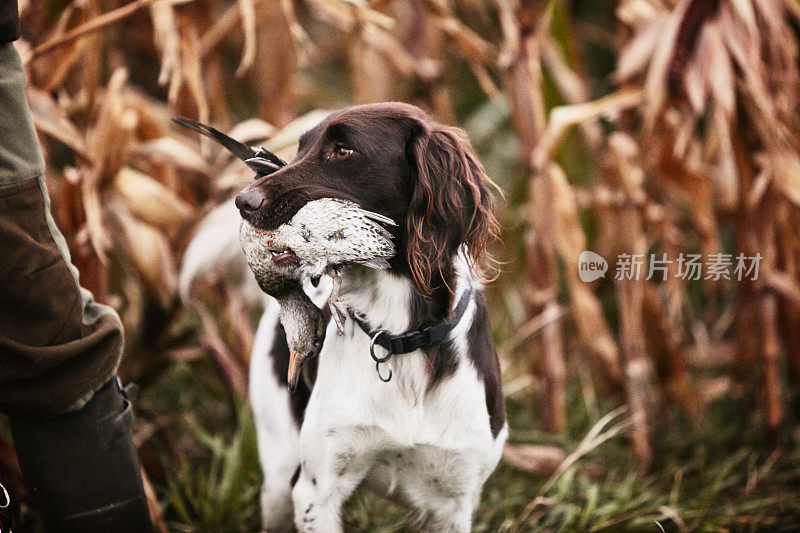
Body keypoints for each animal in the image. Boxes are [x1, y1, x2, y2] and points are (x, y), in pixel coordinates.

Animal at [184, 102, 504, 528]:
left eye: (343, 151)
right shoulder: (315, 489)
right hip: (278, 477)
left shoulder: (455, 501)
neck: (402, 339)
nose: (243, 201)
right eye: (300, 149)